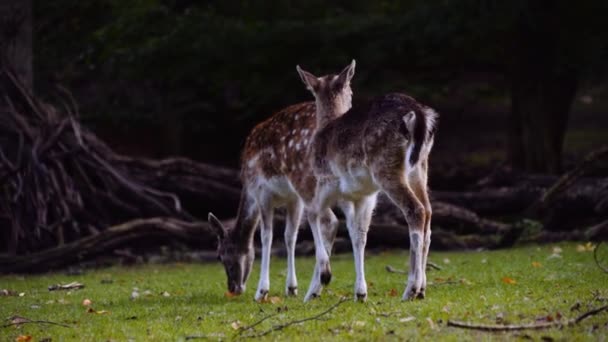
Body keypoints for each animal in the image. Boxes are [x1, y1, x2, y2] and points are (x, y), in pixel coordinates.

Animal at [208, 61, 356, 302]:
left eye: (220, 255)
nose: (233, 288)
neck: (247, 188)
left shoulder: (262, 192)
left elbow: (266, 236)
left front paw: (262, 290)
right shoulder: (293, 200)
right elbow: (290, 236)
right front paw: (291, 287)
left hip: (309, 182)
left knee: (331, 221)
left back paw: (317, 286)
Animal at [296, 65, 434, 300]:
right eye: (351, 90)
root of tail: (418, 115)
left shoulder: (327, 181)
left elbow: (314, 215)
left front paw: (322, 279)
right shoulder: (363, 195)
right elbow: (358, 234)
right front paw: (360, 292)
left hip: (386, 167)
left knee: (416, 210)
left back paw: (410, 289)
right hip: (419, 169)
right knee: (428, 212)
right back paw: (422, 289)